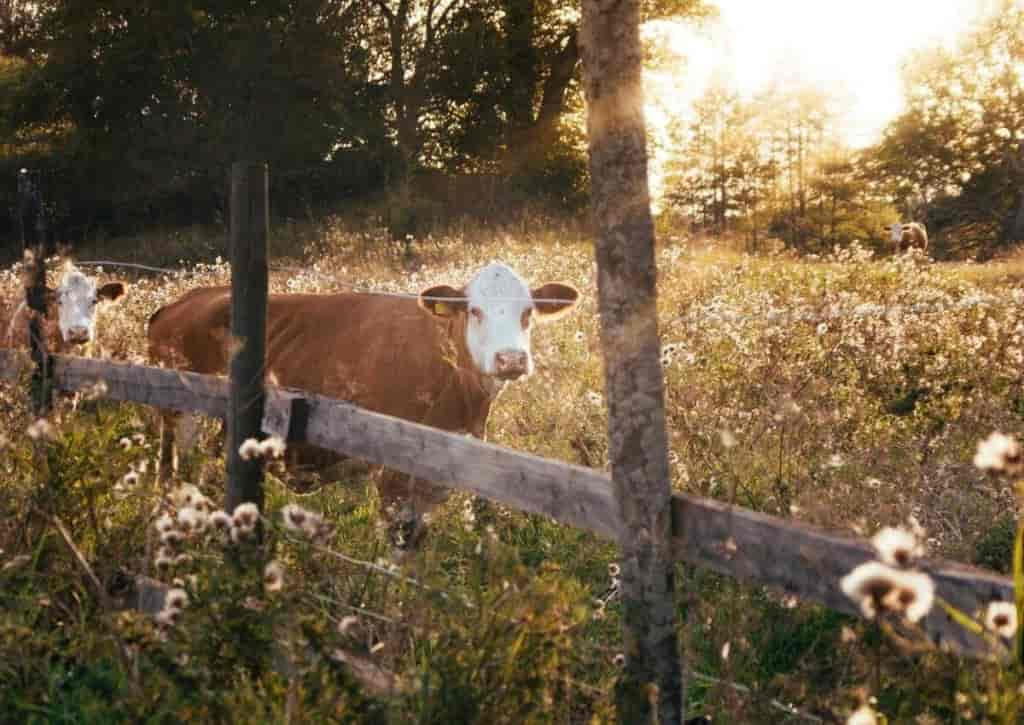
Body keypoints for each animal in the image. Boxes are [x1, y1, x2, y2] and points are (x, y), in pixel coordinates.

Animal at [148, 264, 581, 544]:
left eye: (528, 311)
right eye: (474, 310)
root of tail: (183, 300)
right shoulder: (392, 477)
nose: (511, 359)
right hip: (180, 419)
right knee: (172, 474)